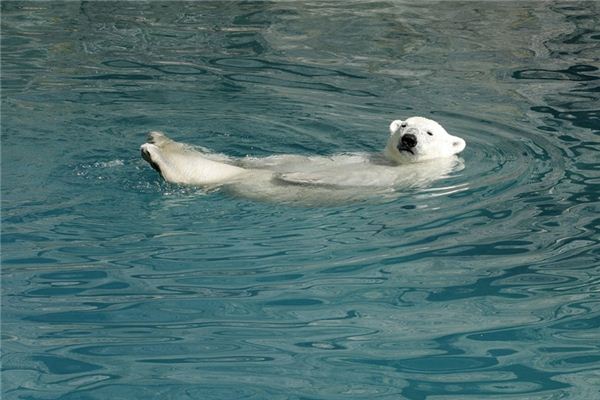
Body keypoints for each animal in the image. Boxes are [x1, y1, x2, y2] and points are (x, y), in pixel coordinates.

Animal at [142, 115, 468, 203]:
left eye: (429, 132)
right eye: (403, 125)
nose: (409, 139)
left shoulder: (406, 176)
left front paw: (296, 177)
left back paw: (157, 156)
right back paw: (158, 141)